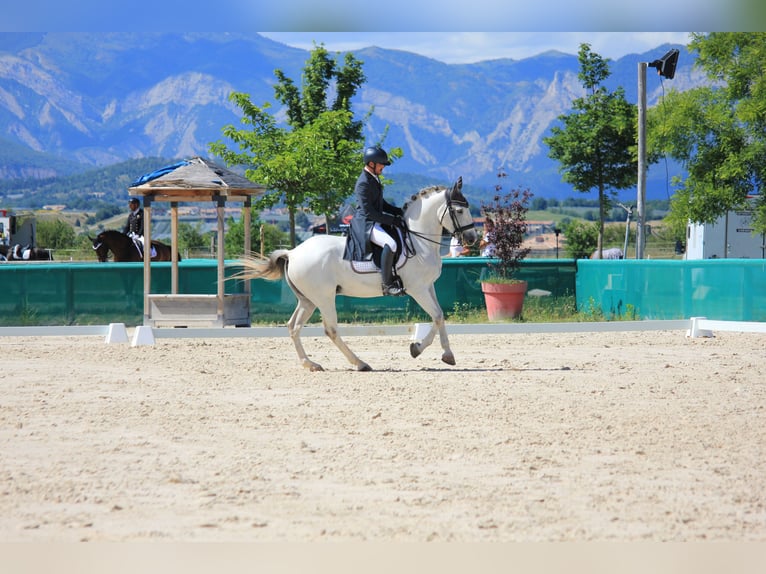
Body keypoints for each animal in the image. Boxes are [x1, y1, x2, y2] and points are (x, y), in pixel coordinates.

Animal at [240, 178, 480, 372]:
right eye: (459, 211)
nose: (471, 238)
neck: (418, 240)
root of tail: (292, 252)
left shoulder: (428, 286)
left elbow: (440, 316)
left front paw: (446, 354)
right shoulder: (417, 288)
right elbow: (437, 316)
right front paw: (417, 349)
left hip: (308, 300)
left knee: (293, 327)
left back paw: (311, 364)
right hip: (324, 298)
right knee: (330, 330)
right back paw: (360, 363)